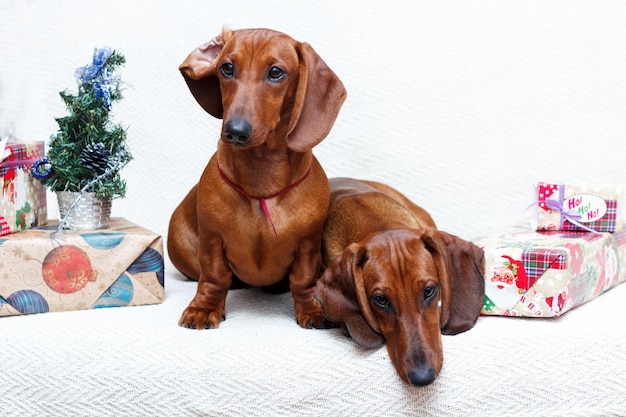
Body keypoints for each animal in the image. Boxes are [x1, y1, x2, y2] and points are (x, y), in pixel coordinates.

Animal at [168, 27, 346, 330]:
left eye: (275, 72)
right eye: (226, 68)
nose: (235, 131)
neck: (262, 179)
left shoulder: (308, 244)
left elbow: (303, 281)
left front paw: (312, 309)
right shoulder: (212, 240)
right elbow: (214, 277)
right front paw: (204, 308)